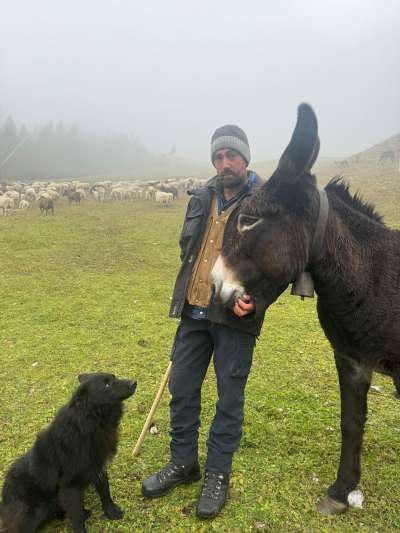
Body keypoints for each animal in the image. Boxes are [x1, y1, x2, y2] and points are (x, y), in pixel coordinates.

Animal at [0, 374, 136, 532]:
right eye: (106, 384)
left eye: (114, 377)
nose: (134, 383)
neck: (91, 422)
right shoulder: (70, 488)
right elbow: (76, 518)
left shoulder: (99, 467)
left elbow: (105, 491)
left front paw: (110, 511)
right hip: (36, 510)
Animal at [212, 104, 400, 516]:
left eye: (248, 220)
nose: (215, 287)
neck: (372, 276)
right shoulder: (351, 359)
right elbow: (351, 422)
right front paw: (341, 491)